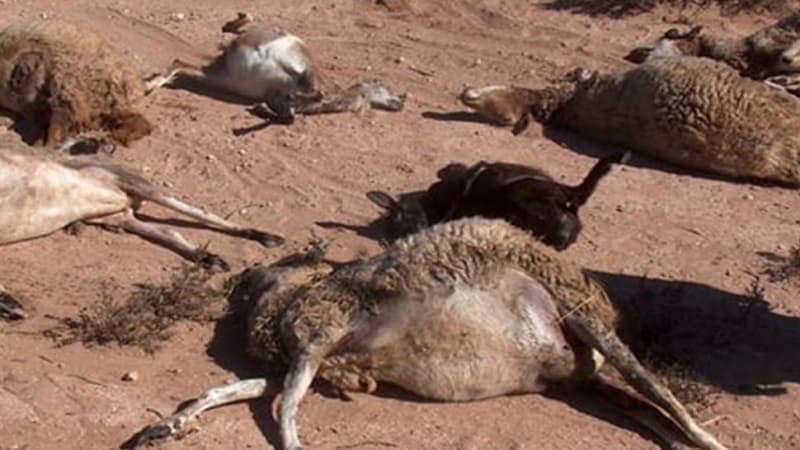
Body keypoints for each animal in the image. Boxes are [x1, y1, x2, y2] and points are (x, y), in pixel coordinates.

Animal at [0, 141, 285, 271]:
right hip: (114, 215)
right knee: (169, 231)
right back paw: (207, 258)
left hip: (138, 187)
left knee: (203, 214)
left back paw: (264, 236)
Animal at [124, 217, 727, 450]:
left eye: (286, 258)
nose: (243, 274)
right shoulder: (306, 360)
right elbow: (230, 391)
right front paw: (166, 425)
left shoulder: (317, 340)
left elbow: (285, 409)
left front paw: (293, 443)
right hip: (588, 379)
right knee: (649, 412)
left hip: (588, 323)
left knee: (667, 398)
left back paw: (711, 440)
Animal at [150, 13, 405, 122]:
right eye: (382, 84)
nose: (402, 101)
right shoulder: (303, 67)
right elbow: (308, 86)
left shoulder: (276, 95)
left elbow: (288, 115)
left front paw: (261, 108)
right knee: (235, 29)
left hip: (219, 78)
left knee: (180, 64)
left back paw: (150, 84)